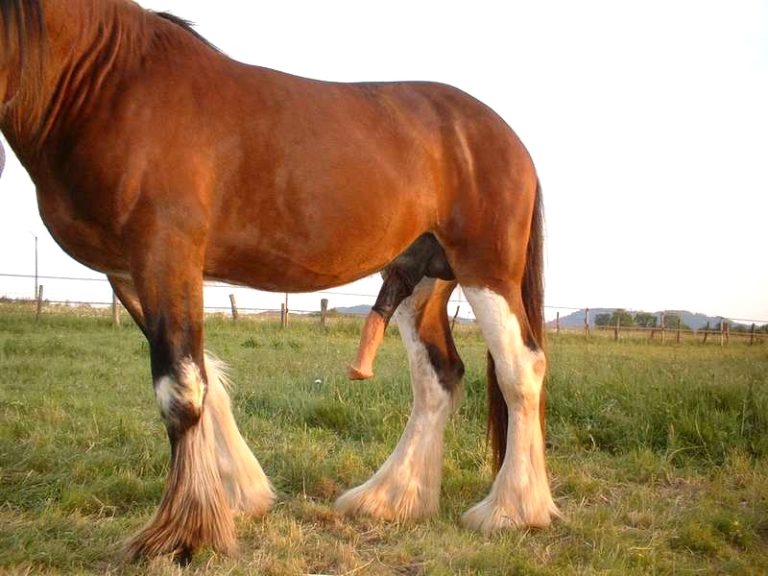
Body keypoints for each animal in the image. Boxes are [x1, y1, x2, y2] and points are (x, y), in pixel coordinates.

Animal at [0, 0, 559, 562]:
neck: (106, 85)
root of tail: (507, 138)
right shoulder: (129, 275)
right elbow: (205, 378)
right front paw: (235, 494)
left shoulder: (164, 254)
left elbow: (181, 391)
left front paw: (184, 533)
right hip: (420, 277)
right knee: (437, 377)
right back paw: (390, 498)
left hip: (486, 269)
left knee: (521, 369)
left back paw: (513, 510)